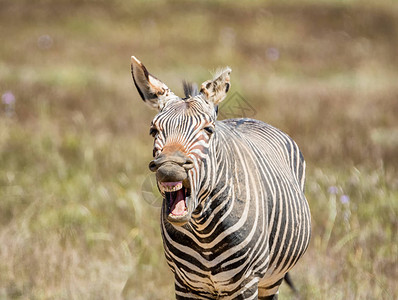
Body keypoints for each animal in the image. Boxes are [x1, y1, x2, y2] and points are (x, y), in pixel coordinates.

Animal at [131, 55, 310, 298]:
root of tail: (247, 119)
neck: (203, 231)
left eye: (208, 130)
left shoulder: (247, 282)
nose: (169, 168)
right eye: (153, 131)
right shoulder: (184, 283)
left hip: (272, 279)